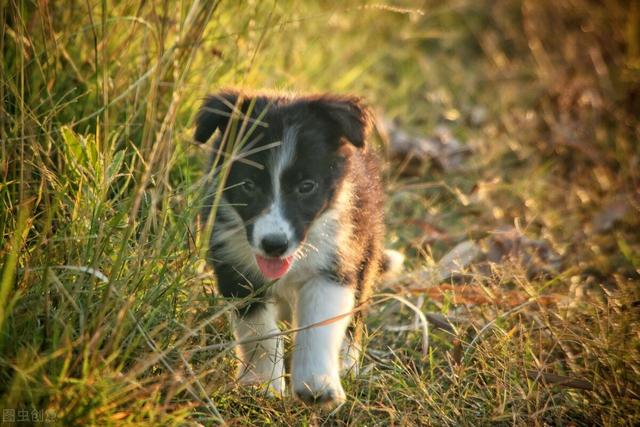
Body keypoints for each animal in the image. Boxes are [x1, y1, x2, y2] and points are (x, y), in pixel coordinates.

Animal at [195, 90, 384, 404]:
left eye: (306, 186)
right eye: (248, 185)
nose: (274, 245)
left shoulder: (334, 262)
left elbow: (318, 326)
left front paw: (317, 385)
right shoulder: (235, 268)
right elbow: (259, 333)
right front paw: (260, 384)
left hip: (366, 249)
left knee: (355, 314)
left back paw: (346, 363)